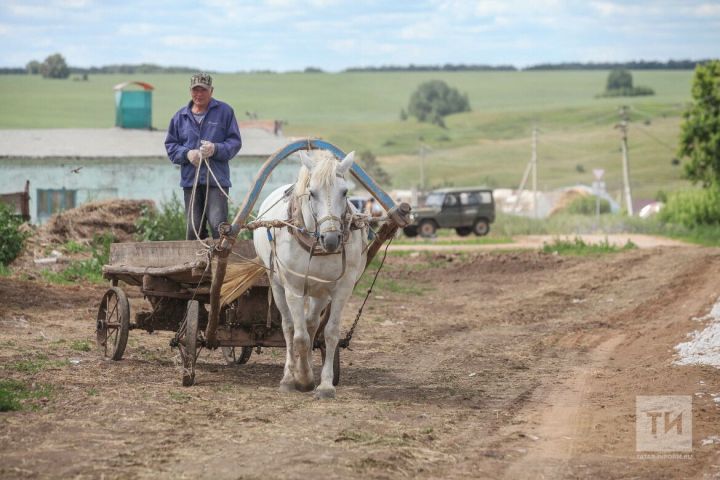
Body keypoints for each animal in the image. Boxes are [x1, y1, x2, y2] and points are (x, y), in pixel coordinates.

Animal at [252, 149, 366, 398]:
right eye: (312, 193)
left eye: (345, 192)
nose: (331, 239)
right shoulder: (294, 289)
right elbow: (300, 337)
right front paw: (302, 379)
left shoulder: (342, 287)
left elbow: (330, 333)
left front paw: (324, 384)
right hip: (277, 285)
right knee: (289, 327)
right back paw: (288, 376)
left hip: (319, 291)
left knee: (312, 323)